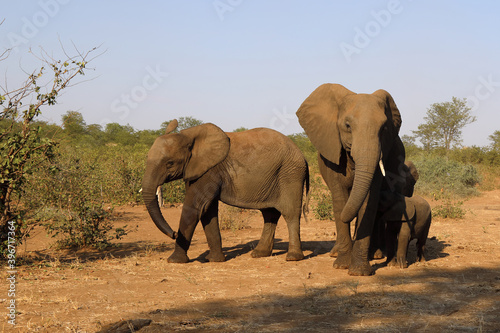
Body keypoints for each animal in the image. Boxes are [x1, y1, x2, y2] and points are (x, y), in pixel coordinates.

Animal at [141, 118, 310, 262]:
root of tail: (303, 156)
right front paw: (214, 260)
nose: (173, 233)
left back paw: (293, 257)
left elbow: (195, 207)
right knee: (269, 214)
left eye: (169, 163)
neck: (188, 135)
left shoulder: (210, 170)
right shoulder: (198, 170)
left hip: (290, 174)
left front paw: (174, 260)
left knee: (290, 213)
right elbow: (207, 211)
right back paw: (259, 254)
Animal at [296, 83, 406, 274]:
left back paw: (376, 254)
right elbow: (340, 200)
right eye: (347, 125)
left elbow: (368, 202)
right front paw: (341, 265)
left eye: (384, 128)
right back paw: (335, 252)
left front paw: (359, 272)